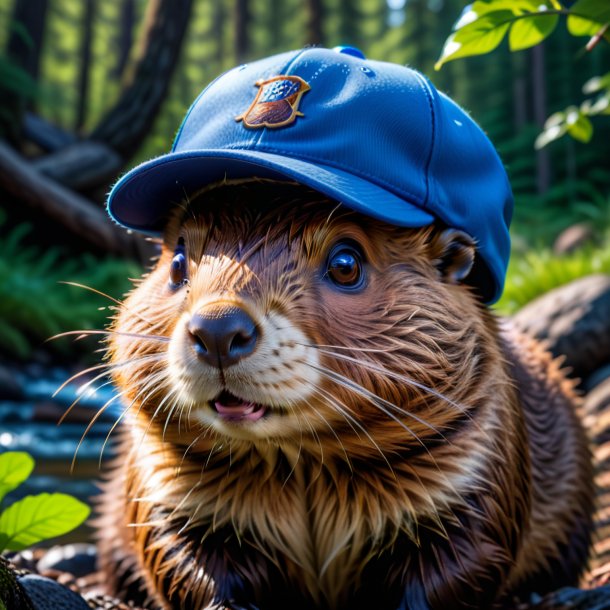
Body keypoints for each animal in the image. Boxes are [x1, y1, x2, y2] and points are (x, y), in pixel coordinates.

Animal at [95, 48, 592, 608]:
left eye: (346, 262)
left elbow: (469, 557)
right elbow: (175, 553)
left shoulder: (481, 462)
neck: (302, 468)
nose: (218, 329)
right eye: (179, 259)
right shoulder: (163, 483)